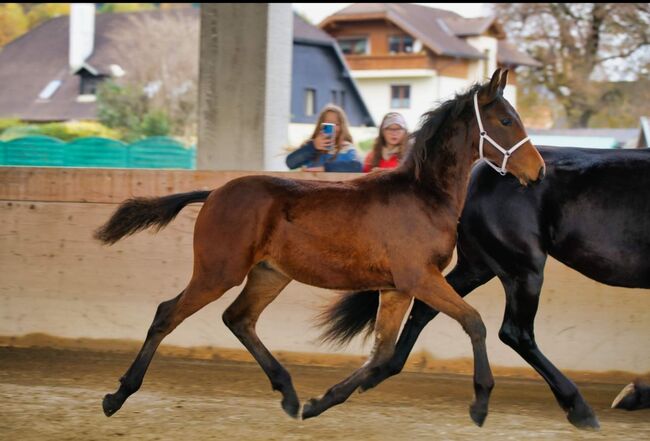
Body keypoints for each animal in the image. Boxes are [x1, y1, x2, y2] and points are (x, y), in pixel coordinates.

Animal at [96, 69, 540, 426]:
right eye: (505, 120)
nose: (537, 170)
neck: (424, 195)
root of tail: (215, 192)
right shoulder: (420, 278)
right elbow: (474, 322)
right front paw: (480, 403)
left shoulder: (396, 287)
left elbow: (382, 353)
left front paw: (319, 402)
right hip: (218, 272)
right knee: (166, 314)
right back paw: (117, 396)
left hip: (269, 275)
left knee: (238, 319)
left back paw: (290, 395)